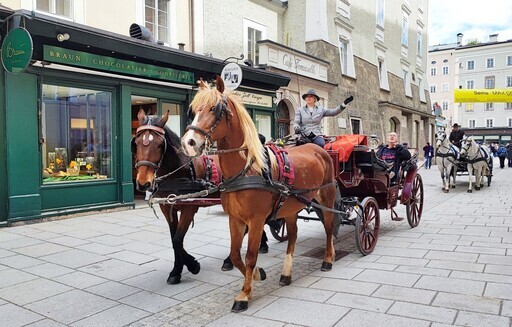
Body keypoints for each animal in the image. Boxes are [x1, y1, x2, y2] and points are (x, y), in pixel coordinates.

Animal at [131, 109, 221, 286]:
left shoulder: (190, 207)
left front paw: (192, 265)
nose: (143, 183)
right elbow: (174, 239)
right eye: (136, 143)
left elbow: (178, 239)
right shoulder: (167, 207)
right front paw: (176, 271)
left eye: (160, 145)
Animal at [180, 76, 336, 312]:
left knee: (328, 227)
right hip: (291, 206)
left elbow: (250, 255)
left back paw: (328, 259)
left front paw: (244, 294)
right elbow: (236, 255)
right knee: (292, 235)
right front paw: (256, 275)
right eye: (193, 110)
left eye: (214, 108)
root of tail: (318, 148)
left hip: (326, 197)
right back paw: (286, 273)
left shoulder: (256, 220)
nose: (188, 143)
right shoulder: (235, 219)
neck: (247, 169)